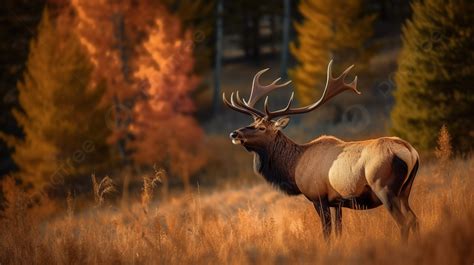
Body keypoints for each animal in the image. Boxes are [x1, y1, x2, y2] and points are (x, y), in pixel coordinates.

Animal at [221, 60, 418, 239]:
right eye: (252, 123)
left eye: (262, 128)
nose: (234, 133)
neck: (294, 167)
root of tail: (410, 151)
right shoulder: (337, 203)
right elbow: (339, 231)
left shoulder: (318, 197)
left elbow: (327, 232)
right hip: (405, 190)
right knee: (414, 218)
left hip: (383, 186)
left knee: (405, 221)